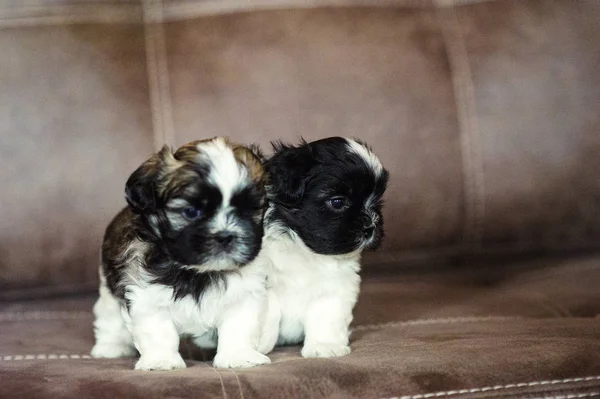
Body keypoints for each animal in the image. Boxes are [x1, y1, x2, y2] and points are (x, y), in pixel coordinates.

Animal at [91, 138, 270, 372]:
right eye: (191, 212)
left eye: (248, 210)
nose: (225, 236)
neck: (197, 272)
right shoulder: (145, 294)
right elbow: (158, 331)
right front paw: (161, 360)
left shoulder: (244, 295)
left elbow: (238, 326)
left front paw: (238, 356)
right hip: (109, 289)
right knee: (109, 318)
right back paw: (110, 347)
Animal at [256, 138, 390, 360]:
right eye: (337, 202)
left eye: (377, 203)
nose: (370, 225)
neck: (304, 251)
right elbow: (269, 310)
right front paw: (253, 346)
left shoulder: (335, 288)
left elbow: (325, 314)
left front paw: (325, 346)